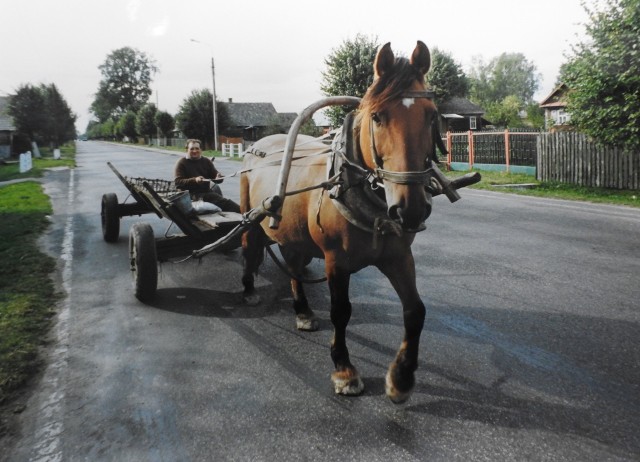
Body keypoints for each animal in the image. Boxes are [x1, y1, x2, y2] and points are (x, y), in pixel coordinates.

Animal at [240, 40, 440, 404]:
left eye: (431, 115)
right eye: (377, 116)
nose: (411, 209)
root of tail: (258, 144)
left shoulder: (398, 256)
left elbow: (415, 311)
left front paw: (401, 379)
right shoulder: (336, 260)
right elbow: (341, 312)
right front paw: (344, 371)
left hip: (292, 233)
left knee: (294, 264)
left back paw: (303, 312)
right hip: (251, 217)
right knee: (249, 248)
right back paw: (248, 290)